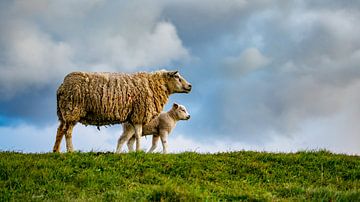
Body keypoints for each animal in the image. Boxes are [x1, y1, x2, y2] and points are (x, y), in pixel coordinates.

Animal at [53, 70, 191, 152]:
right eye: (177, 77)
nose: (190, 86)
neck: (152, 84)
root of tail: (62, 86)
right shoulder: (138, 114)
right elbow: (138, 134)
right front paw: (138, 151)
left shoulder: (134, 116)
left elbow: (135, 136)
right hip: (73, 110)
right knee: (68, 132)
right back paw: (71, 151)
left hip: (64, 112)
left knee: (60, 130)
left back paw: (56, 151)